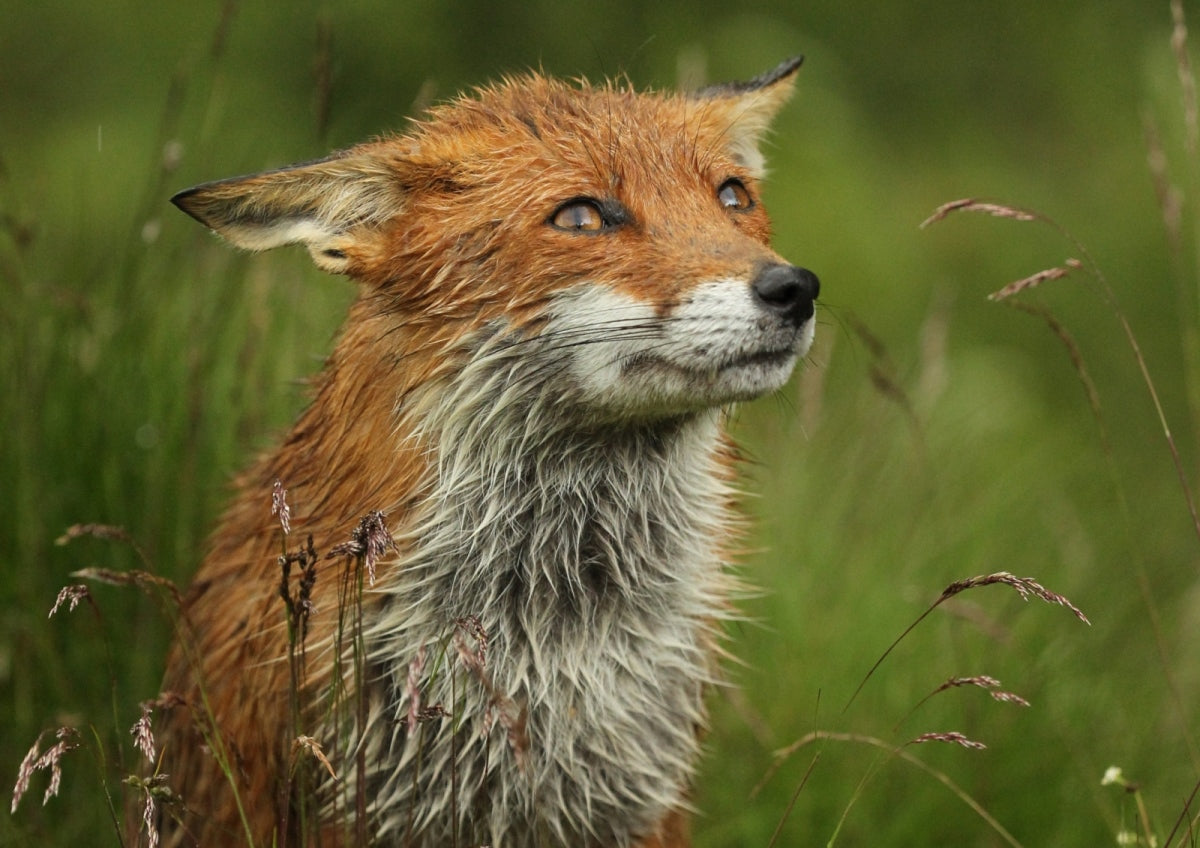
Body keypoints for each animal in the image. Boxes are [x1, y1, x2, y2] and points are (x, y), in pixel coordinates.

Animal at [157, 56, 816, 844]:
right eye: (581, 216)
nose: (795, 288)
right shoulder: (348, 800)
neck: (553, 641)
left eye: (733, 196)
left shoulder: (639, 801)